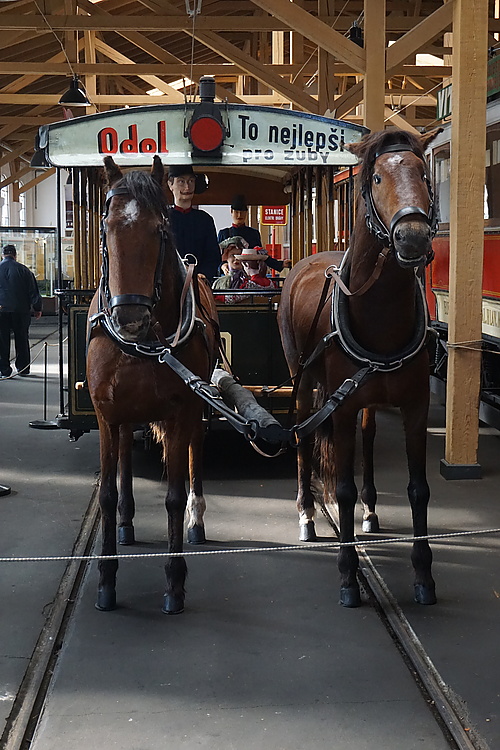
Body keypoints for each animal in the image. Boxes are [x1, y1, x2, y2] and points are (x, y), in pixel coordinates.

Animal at [86, 156, 219, 612]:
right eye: (106, 227)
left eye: (160, 230)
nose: (129, 318)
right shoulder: (107, 415)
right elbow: (107, 494)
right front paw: (106, 581)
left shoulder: (182, 411)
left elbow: (174, 495)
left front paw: (175, 583)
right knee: (126, 459)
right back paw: (127, 523)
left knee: (196, 454)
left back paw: (197, 521)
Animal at [280, 128, 440, 612]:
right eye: (376, 179)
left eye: (424, 173)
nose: (412, 238)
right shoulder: (343, 406)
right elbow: (344, 488)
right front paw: (349, 576)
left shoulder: (414, 406)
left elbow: (418, 488)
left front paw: (423, 575)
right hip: (303, 381)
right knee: (303, 436)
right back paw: (307, 515)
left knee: (367, 439)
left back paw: (370, 510)